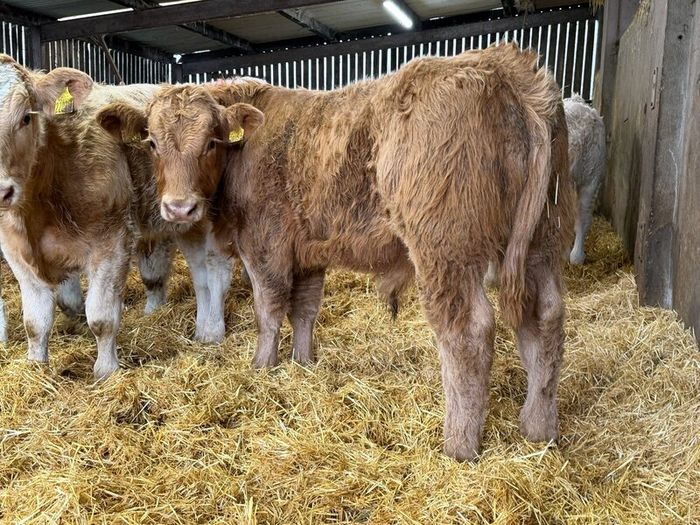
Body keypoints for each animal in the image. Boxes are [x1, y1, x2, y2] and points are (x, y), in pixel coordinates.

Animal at [0, 55, 230, 379]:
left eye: (25, 118)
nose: (1, 191)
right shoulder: (16, 252)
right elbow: (36, 321)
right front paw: (36, 366)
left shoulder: (112, 242)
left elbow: (101, 317)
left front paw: (106, 371)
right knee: (157, 273)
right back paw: (155, 312)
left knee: (213, 272)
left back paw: (211, 330)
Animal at [99, 43, 575, 461]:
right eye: (152, 143)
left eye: (212, 141)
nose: (179, 207)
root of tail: (503, 66)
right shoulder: (308, 251)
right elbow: (305, 309)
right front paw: (303, 363)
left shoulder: (265, 245)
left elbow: (268, 309)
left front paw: (262, 366)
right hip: (542, 242)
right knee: (545, 319)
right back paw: (538, 426)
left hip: (446, 251)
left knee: (469, 331)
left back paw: (459, 445)